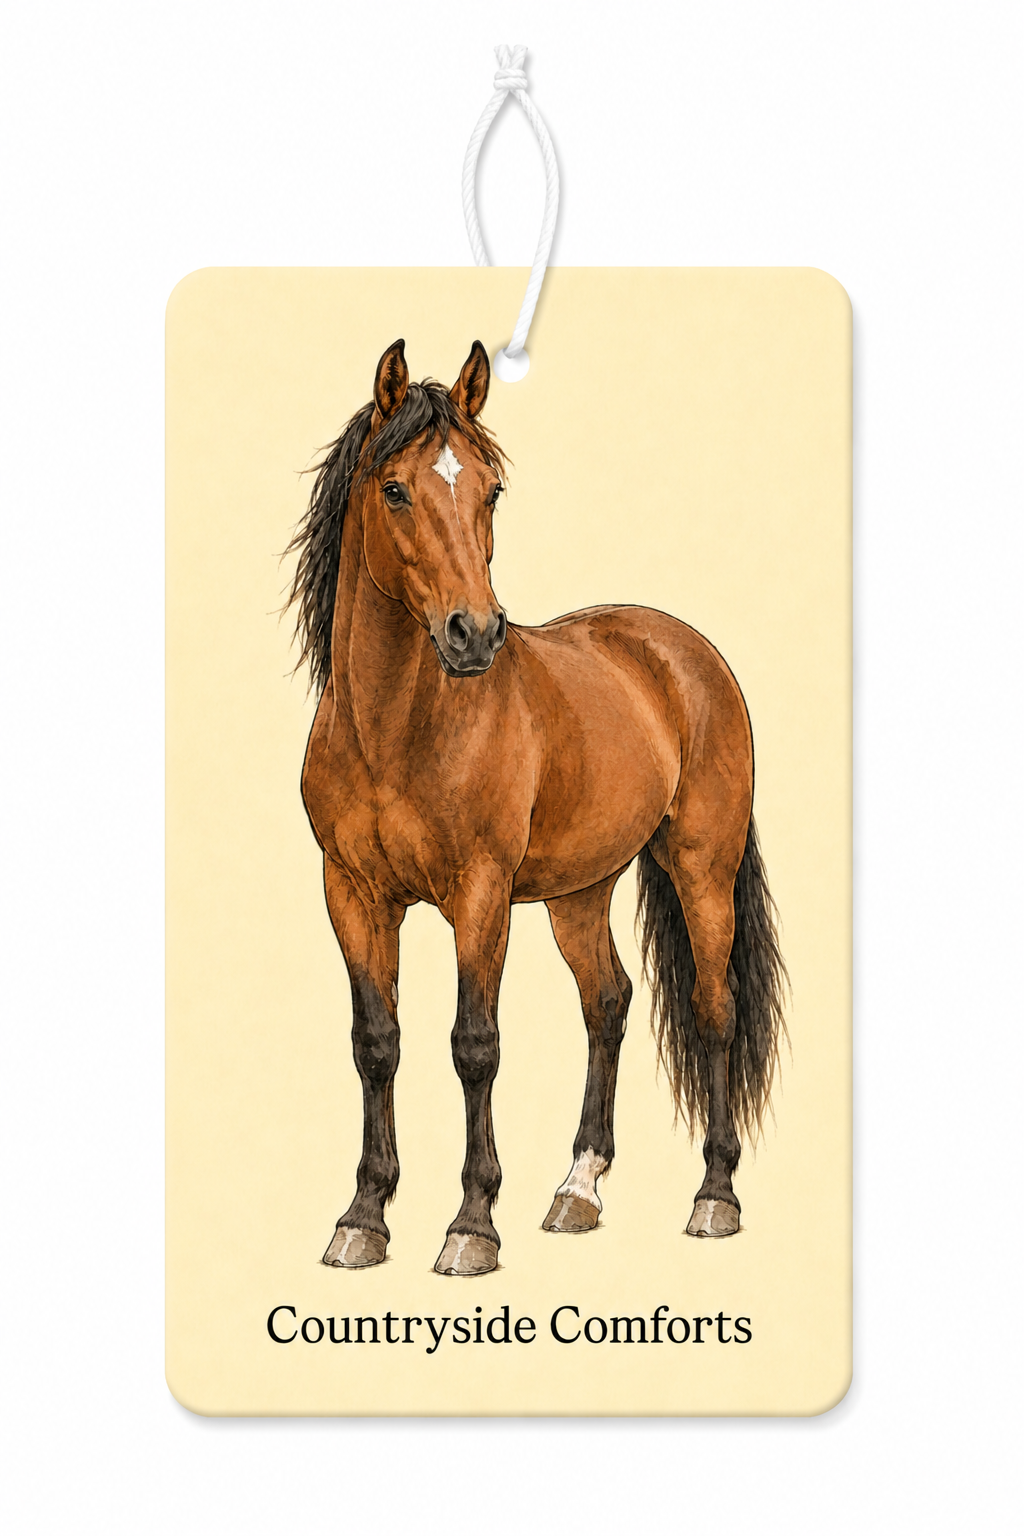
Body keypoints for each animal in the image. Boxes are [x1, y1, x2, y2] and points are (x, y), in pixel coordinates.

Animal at [287, 339, 787, 1277]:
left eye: (491, 490)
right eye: (394, 488)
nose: (474, 634)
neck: (396, 730)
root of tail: (682, 650)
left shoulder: (480, 895)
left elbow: (473, 1044)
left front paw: (471, 1226)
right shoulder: (353, 895)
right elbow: (377, 1042)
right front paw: (363, 1217)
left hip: (701, 867)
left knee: (713, 1009)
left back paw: (714, 1197)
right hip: (578, 893)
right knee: (610, 1001)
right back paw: (578, 1188)